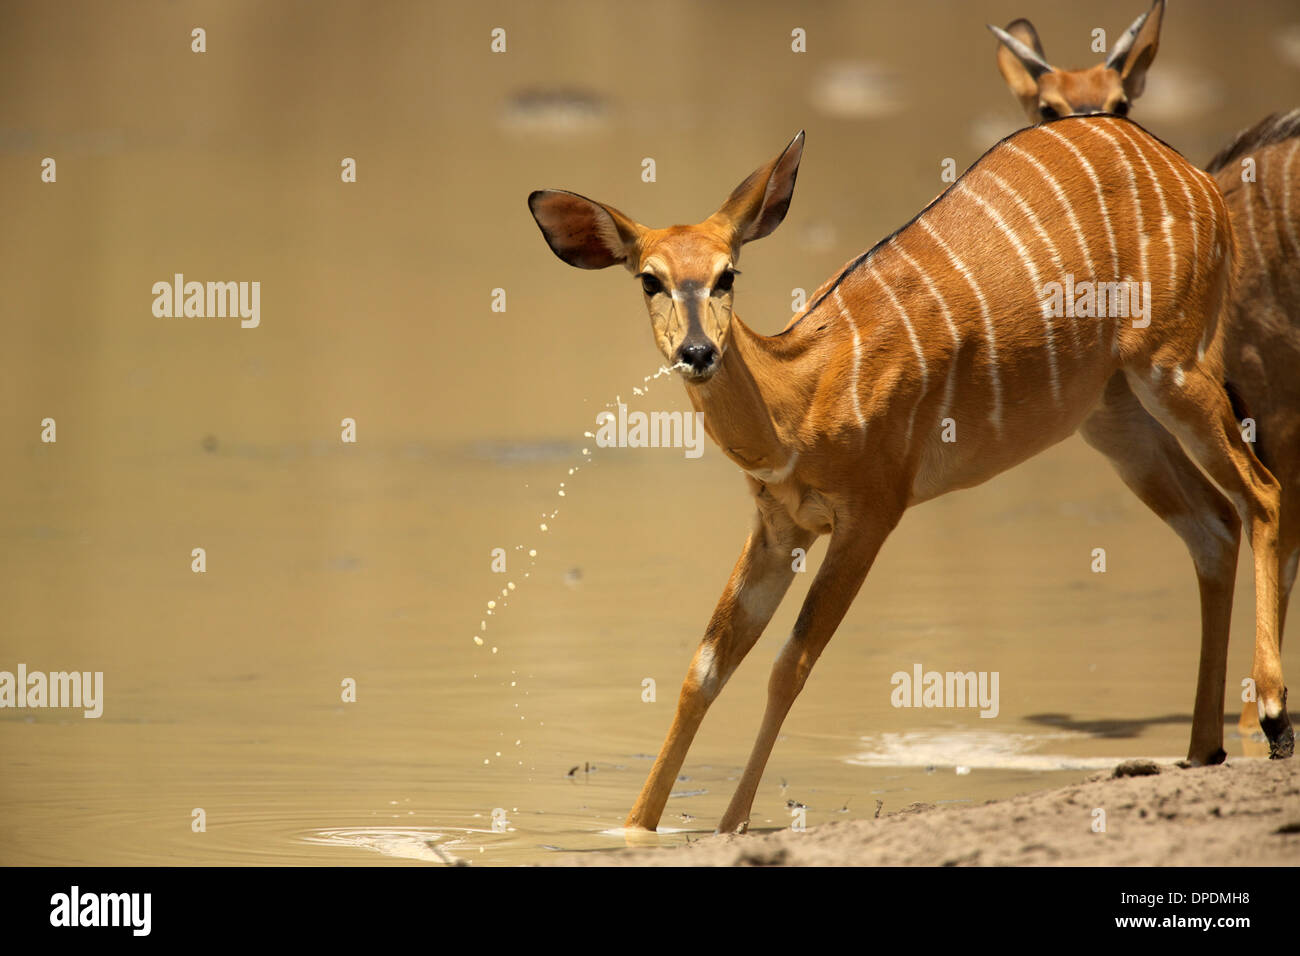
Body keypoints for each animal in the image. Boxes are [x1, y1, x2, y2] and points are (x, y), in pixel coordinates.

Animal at [525, 117, 1289, 837]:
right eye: (649, 278)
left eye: (727, 274)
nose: (697, 351)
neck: (800, 397)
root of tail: (1197, 178)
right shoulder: (779, 526)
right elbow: (704, 668)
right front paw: (632, 830)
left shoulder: (870, 513)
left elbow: (790, 663)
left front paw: (731, 823)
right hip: (1114, 417)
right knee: (1212, 526)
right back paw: (1201, 749)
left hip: (1173, 366)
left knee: (1262, 493)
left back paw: (1276, 718)